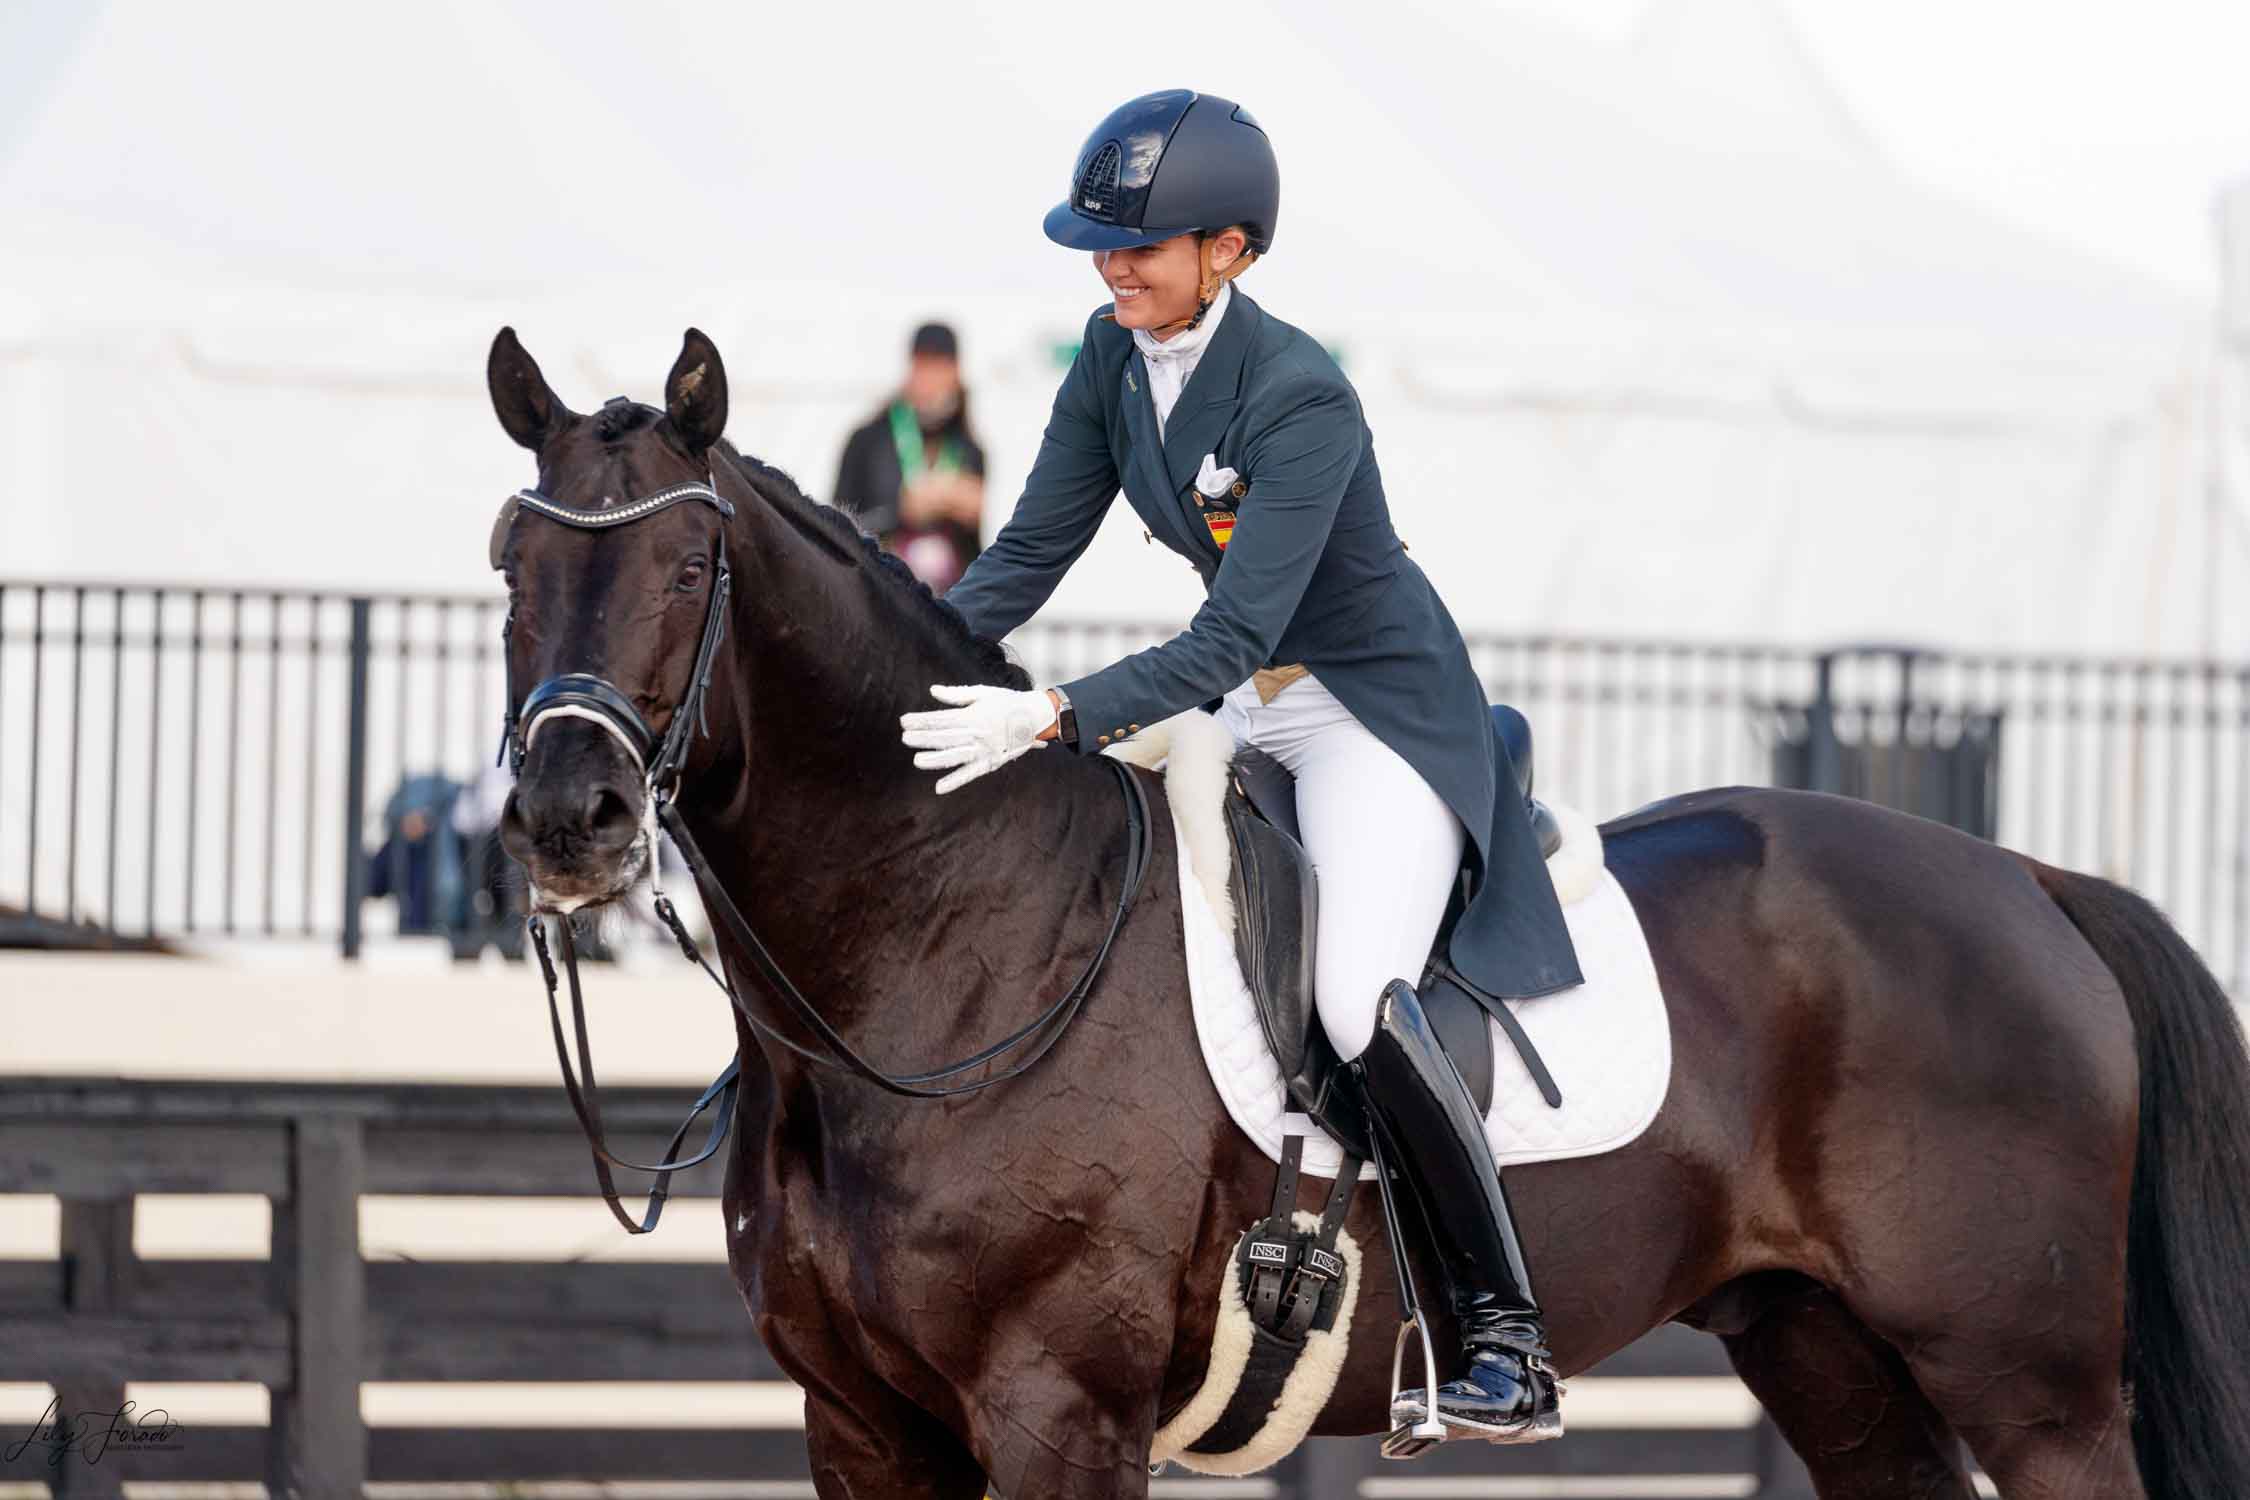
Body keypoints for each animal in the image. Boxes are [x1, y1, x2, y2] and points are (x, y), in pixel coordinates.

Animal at [488, 330, 2250, 1500]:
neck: (941, 956)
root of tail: (2027, 881)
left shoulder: (1057, 1407)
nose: (570, 817)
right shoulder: (862, 1424)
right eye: (510, 563)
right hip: (1832, 1359)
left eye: (691, 569)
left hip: (2030, 1390)